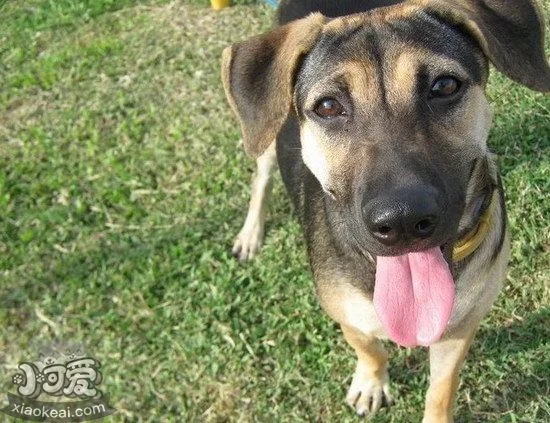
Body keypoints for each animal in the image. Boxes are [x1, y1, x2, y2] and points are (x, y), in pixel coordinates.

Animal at [221, 0, 550, 420]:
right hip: (265, 133)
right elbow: (369, 348)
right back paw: (250, 234)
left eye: (444, 86)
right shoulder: (348, 315)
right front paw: (371, 383)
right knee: (261, 176)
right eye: (328, 106)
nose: (403, 220)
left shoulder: (461, 328)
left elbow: (442, 387)